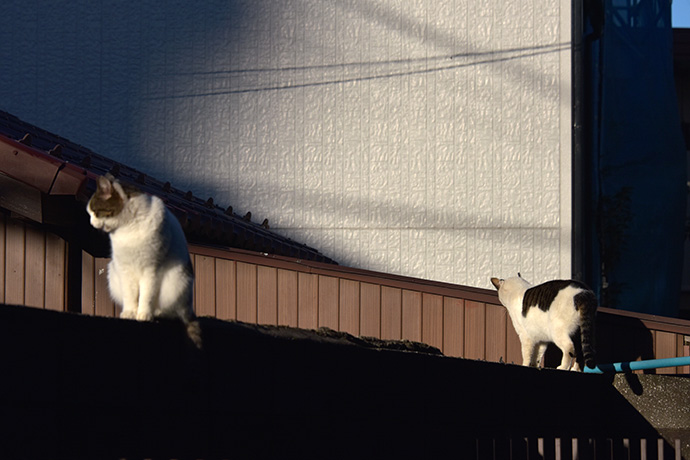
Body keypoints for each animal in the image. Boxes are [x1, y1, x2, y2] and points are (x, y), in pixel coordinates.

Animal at [85, 174, 199, 346]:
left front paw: (144, 314)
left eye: (95, 212)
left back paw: (158, 312)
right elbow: (130, 295)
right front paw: (130, 312)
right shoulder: (125, 270)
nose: (91, 223)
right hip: (113, 273)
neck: (128, 229)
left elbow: (147, 295)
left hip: (177, 282)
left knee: (173, 311)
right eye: (90, 214)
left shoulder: (151, 270)